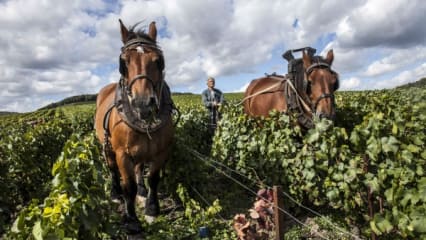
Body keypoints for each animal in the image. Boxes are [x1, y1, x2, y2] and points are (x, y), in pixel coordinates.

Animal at [95, 19, 175, 234]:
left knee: (139, 168)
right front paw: (131, 220)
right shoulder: (122, 153)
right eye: (123, 63)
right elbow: (128, 186)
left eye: (158, 60)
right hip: (107, 147)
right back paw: (115, 193)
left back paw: (141, 191)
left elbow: (153, 179)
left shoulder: (161, 151)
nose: (143, 104)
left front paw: (151, 209)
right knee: (112, 169)